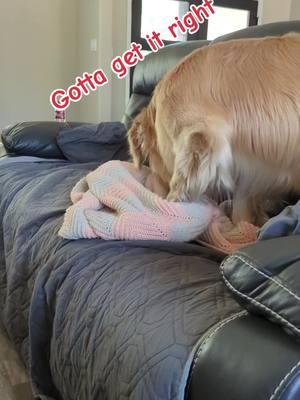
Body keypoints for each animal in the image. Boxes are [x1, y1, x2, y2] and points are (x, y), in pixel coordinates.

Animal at [127, 34, 300, 225]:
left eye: (152, 160)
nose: (151, 184)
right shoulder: (250, 171)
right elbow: (242, 206)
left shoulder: (199, 134)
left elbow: (181, 181)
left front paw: (169, 204)